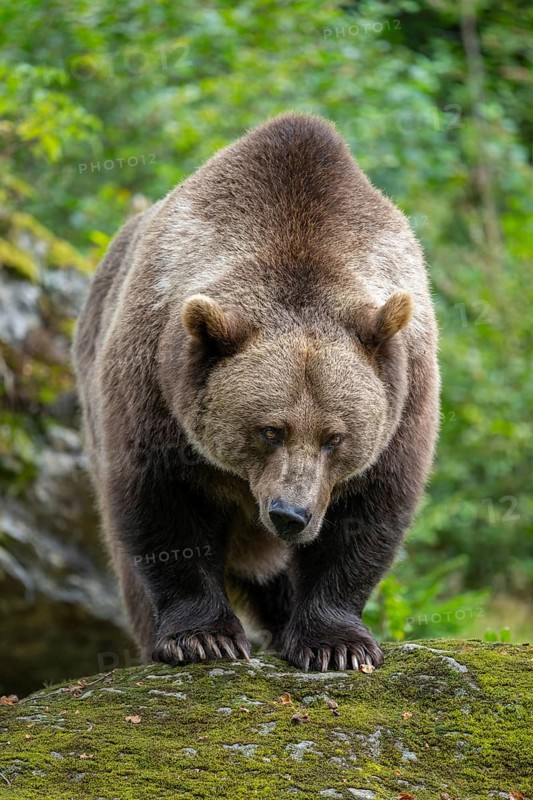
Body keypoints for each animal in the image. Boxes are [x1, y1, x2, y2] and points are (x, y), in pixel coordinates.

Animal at [73, 112, 439, 672]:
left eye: (335, 437)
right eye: (270, 430)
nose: (290, 515)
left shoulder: (405, 396)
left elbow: (366, 515)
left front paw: (336, 643)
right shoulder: (153, 389)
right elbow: (162, 510)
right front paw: (202, 637)